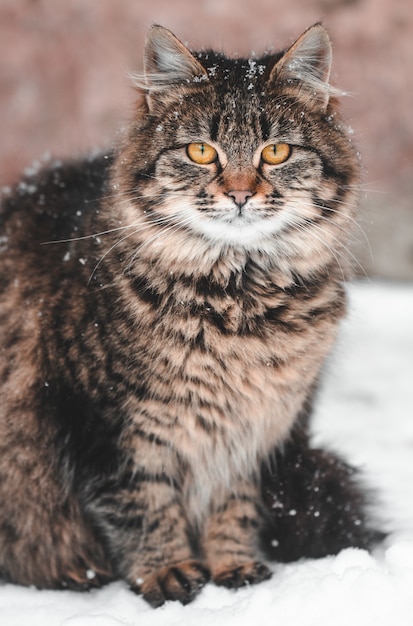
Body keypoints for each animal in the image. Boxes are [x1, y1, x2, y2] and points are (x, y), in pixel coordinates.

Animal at [0, 24, 380, 604]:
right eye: (201, 151)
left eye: (276, 151)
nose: (241, 194)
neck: (241, 307)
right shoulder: (107, 427)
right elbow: (144, 509)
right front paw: (170, 574)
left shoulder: (252, 437)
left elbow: (234, 508)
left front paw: (233, 568)